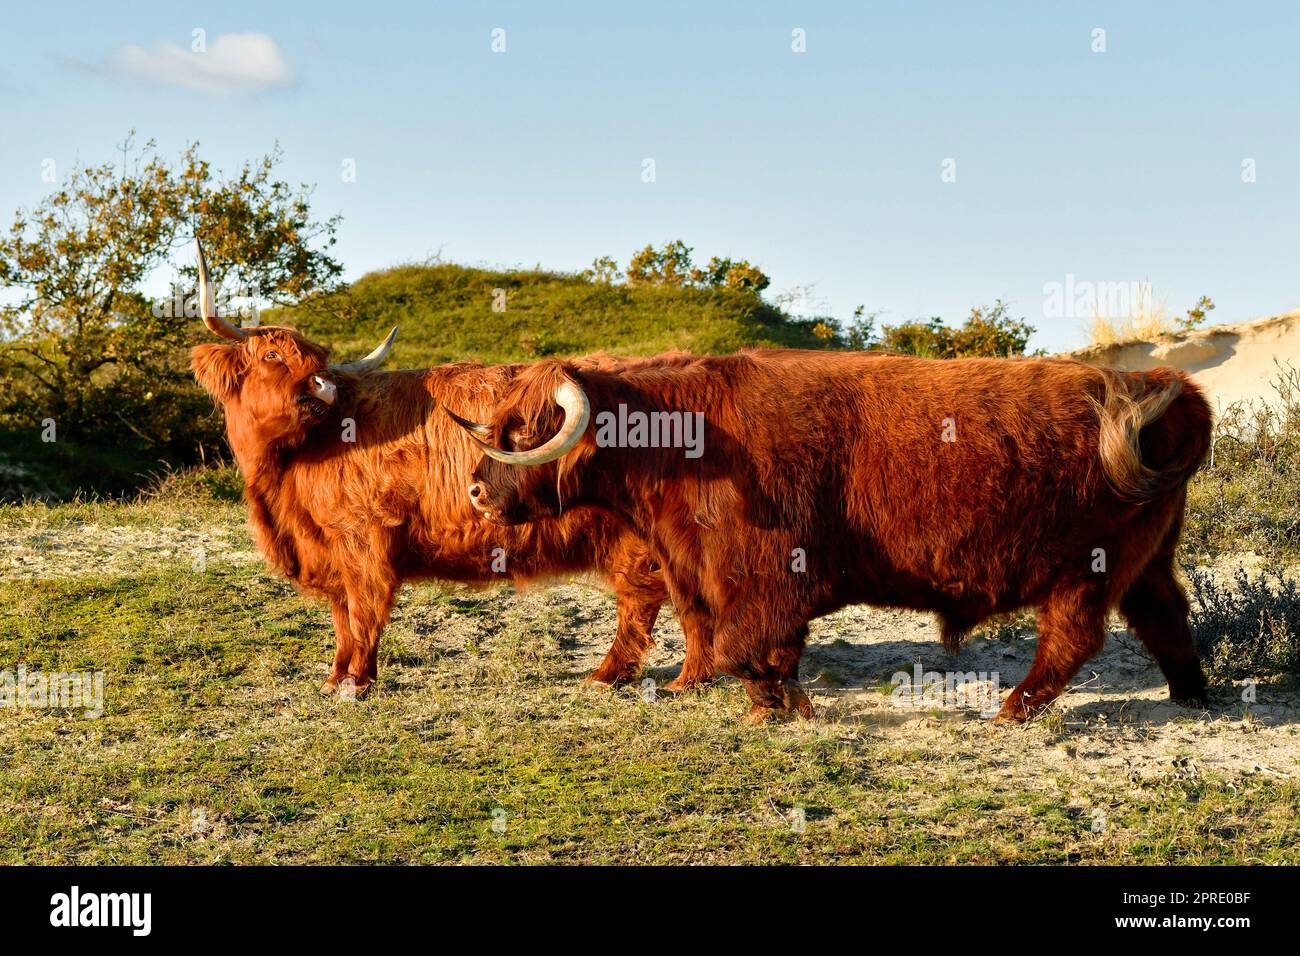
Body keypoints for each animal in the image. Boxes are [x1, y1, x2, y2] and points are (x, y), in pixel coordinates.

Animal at [185, 239, 712, 697]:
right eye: (273, 355)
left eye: (316, 360)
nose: (323, 385)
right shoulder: (330, 545)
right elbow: (341, 616)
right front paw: (336, 677)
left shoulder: (363, 538)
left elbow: (363, 610)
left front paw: (356, 682)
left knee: (646, 599)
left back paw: (626, 675)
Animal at [452, 348, 1211, 723]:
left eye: (523, 430)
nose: (477, 492)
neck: (683, 436)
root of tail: (1156, 382)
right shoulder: (703, 569)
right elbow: (729, 639)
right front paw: (761, 704)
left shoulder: (769, 575)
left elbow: (737, 645)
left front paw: (784, 704)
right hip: (1144, 562)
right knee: (1166, 615)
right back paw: (1194, 695)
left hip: (1085, 570)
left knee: (1072, 639)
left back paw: (1013, 710)